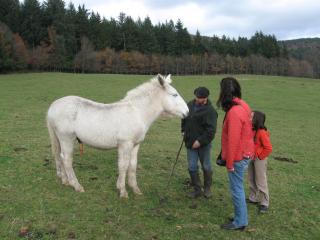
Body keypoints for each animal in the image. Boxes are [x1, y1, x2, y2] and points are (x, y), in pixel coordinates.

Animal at [46, 74, 189, 198]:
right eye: (174, 94)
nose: (187, 112)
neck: (137, 112)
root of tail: (53, 106)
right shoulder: (125, 144)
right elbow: (123, 165)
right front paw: (122, 191)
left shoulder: (135, 145)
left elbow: (132, 165)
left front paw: (135, 189)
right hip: (67, 138)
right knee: (66, 159)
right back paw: (76, 185)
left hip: (60, 139)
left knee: (60, 157)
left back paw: (65, 181)